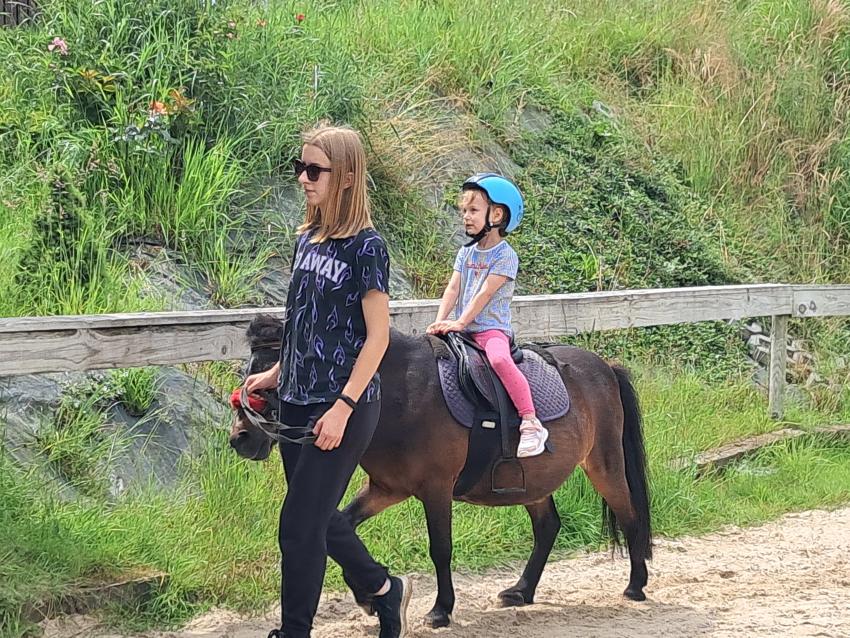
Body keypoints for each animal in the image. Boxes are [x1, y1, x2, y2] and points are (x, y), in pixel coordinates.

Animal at [229, 315, 652, 628]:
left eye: (273, 377)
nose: (240, 438)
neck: (401, 392)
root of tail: (606, 367)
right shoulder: (386, 488)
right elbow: (346, 525)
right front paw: (371, 596)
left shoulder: (436, 490)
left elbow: (440, 549)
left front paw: (440, 610)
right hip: (532, 482)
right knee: (548, 527)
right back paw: (521, 591)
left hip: (604, 464)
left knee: (629, 514)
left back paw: (636, 586)